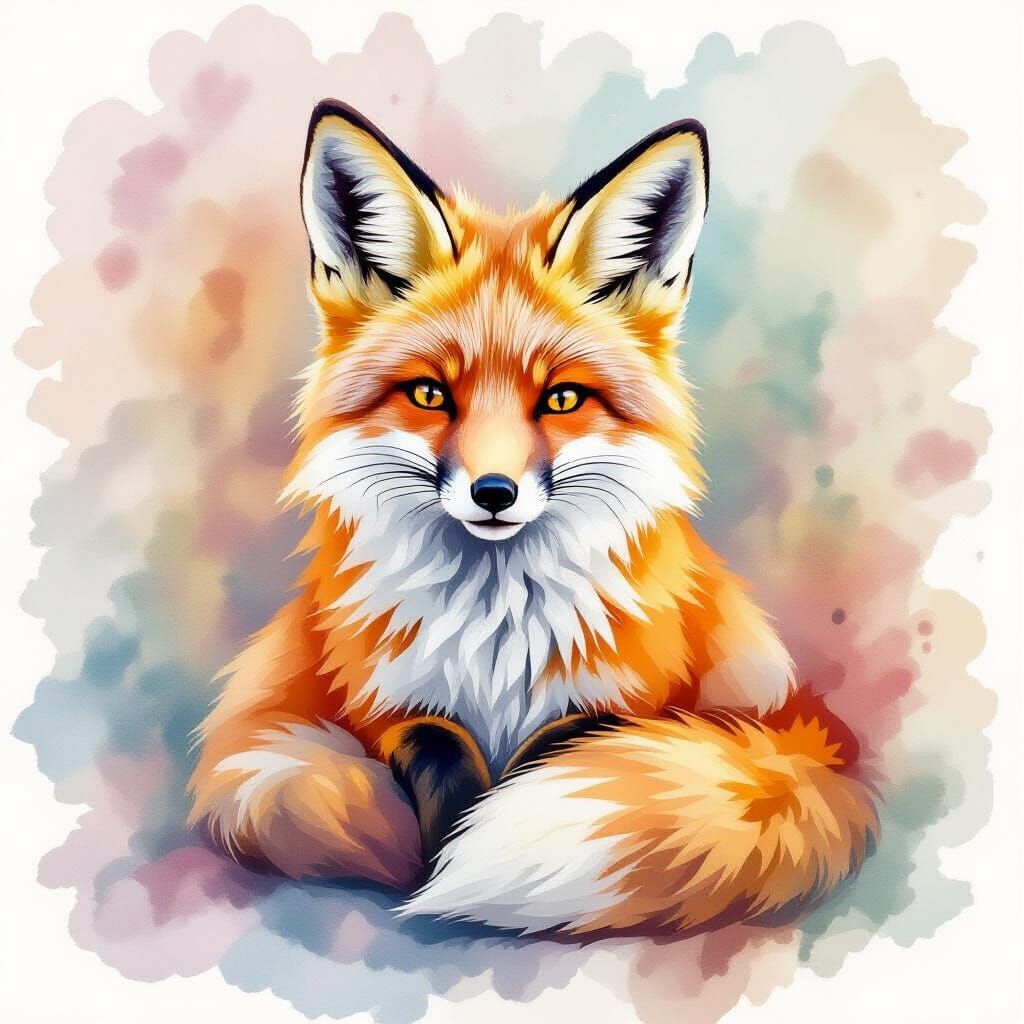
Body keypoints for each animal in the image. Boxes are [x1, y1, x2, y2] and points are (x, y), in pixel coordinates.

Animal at [187, 100, 878, 936]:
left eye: (561, 398)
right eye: (429, 395)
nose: (493, 493)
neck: (496, 635)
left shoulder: (641, 704)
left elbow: (560, 747)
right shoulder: (378, 703)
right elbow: (437, 747)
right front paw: (442, 852)